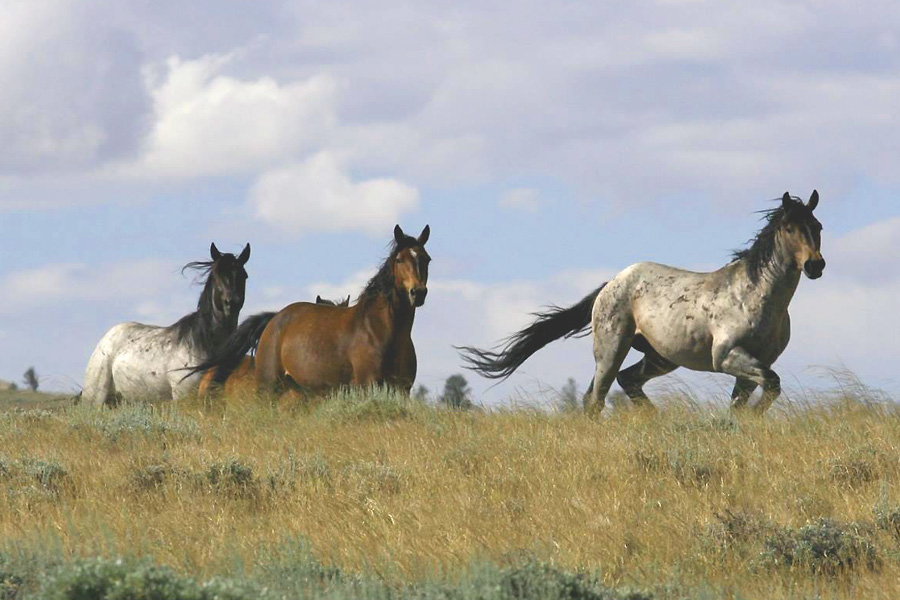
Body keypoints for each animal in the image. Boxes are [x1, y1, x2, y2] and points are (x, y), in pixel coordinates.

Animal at [82, 243, 250, 406]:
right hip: (95, 399)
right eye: (216, 275)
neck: (203, 345)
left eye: (243, 275)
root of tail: (106, 338)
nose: (231, 304)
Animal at [459, 191, 825, 415]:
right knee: (597, 396)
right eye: (789, 227)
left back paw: (654, 416)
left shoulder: (752, 365)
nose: (815, 266)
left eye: (817, 226)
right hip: (611, 350)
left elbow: (745, 402)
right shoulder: (728, 357)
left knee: (624, 382)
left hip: (659, 357)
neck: (754, 296)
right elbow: (772, 384)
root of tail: (611, 284)